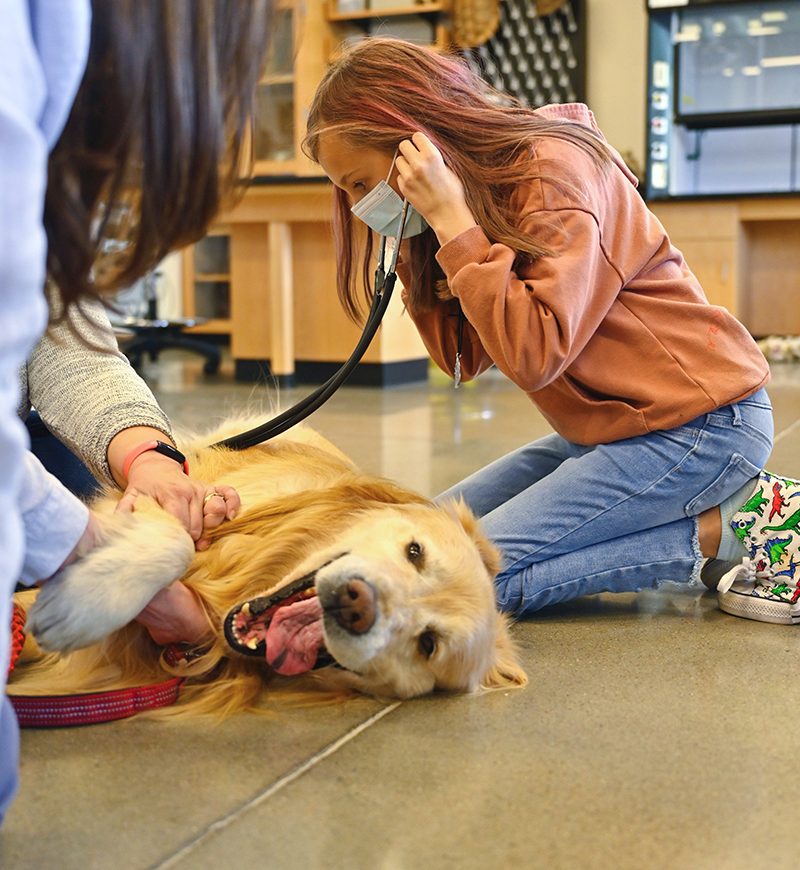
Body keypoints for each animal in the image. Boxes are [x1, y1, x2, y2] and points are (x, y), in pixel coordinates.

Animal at [10, 419, 526, 715]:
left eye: (427, 645)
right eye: (415, 552)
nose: (356, 604)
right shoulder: (184, 502)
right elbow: (175, 539)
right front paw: (86, 600)